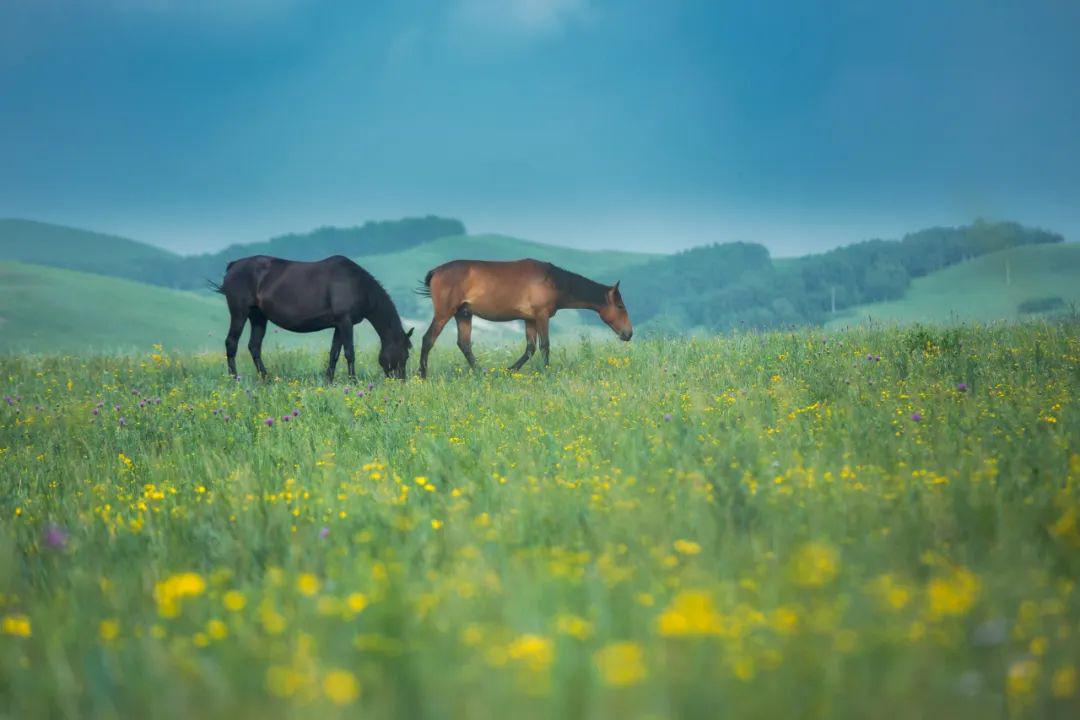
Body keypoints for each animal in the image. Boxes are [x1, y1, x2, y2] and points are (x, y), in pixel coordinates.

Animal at [214, 254, 412, 379]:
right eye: (406, 355)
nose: (401, 381)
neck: (357, 284)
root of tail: (233, 266)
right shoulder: (346, 322)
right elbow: (349, 353)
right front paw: (353, 381)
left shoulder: (339, 325)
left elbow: (334, 353)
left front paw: (329, 381)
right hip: (239, 313)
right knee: (231, 343)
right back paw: (234, 378)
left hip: (258, 317)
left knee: (254, 346)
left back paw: (266, 378)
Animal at [414, 260, 630, 382]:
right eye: (620, 306)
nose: (629, 333)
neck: (552, 280)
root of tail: (436, 271)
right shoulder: (542, 316)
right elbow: (545, 346)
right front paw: (546, 373)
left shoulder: (530, 320)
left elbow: (530, 349)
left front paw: (509, 371)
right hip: (444, 313)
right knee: (428, 340)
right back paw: (422, 375)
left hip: (464, 314)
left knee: (464, 344)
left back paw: (483, 372)